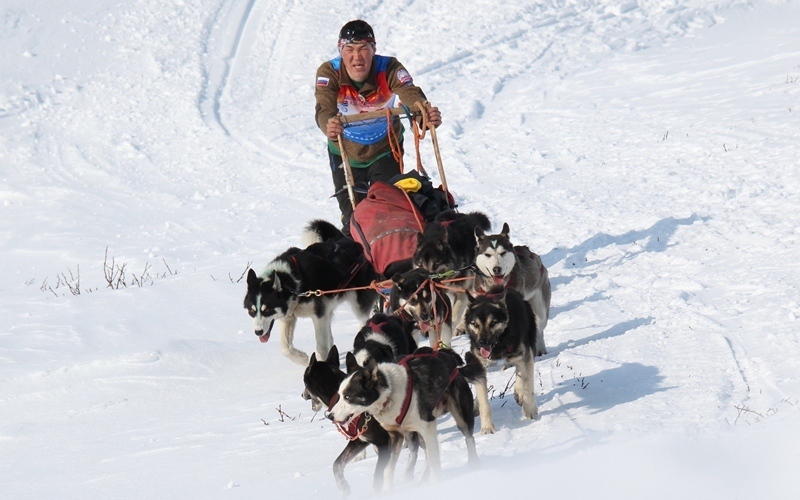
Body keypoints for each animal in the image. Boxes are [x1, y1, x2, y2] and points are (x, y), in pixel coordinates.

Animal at [244, 221, 378, 366]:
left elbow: (321, 346)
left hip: (359, 305)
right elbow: (285, 349)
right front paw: (302, 359)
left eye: (267, 310)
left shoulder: (318, 316)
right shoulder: (289, 317)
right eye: (251, 311)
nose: (258, 332)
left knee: (362, 321)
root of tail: (348, 240)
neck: (292, 281)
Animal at [476, 223, 552, 356]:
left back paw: (539, 349)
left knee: (538, 329)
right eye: (487, 254)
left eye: (503, 253)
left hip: (540, 310)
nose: (497, 269)